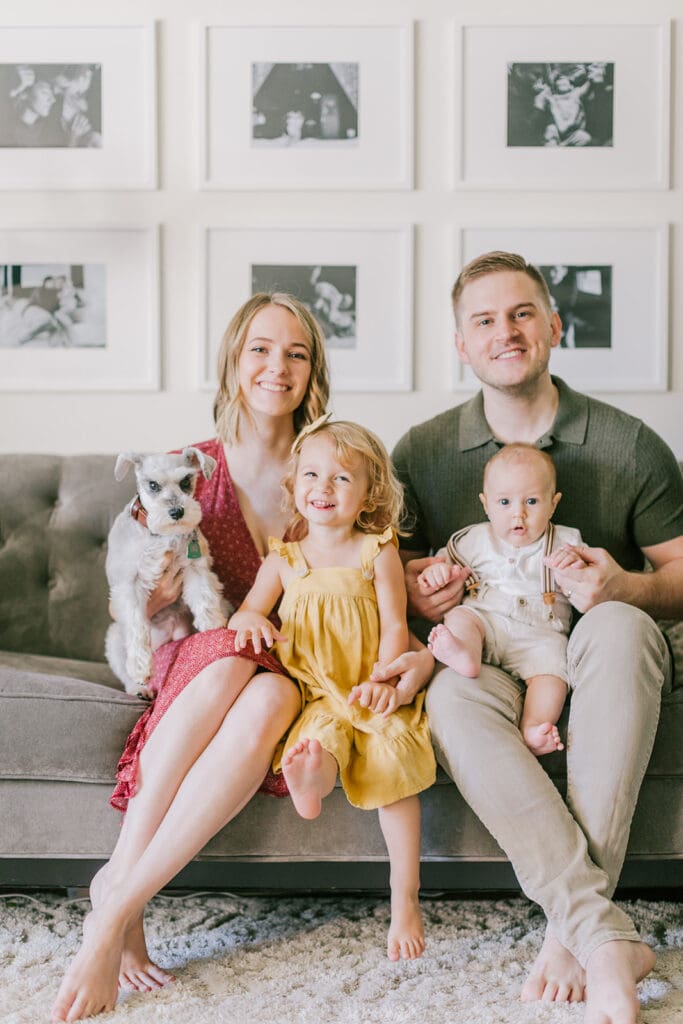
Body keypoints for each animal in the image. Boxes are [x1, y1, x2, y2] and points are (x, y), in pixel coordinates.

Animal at [105, 444, 229, 700]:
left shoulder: (196, 567)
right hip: (113, 638)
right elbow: (136, 626)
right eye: (152, 485)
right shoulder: (129, 585)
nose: (177, 511)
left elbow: (204, 597)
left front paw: (212, 626)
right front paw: (141, 668)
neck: (162, 535)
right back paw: (139, 688)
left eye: (186, 481)